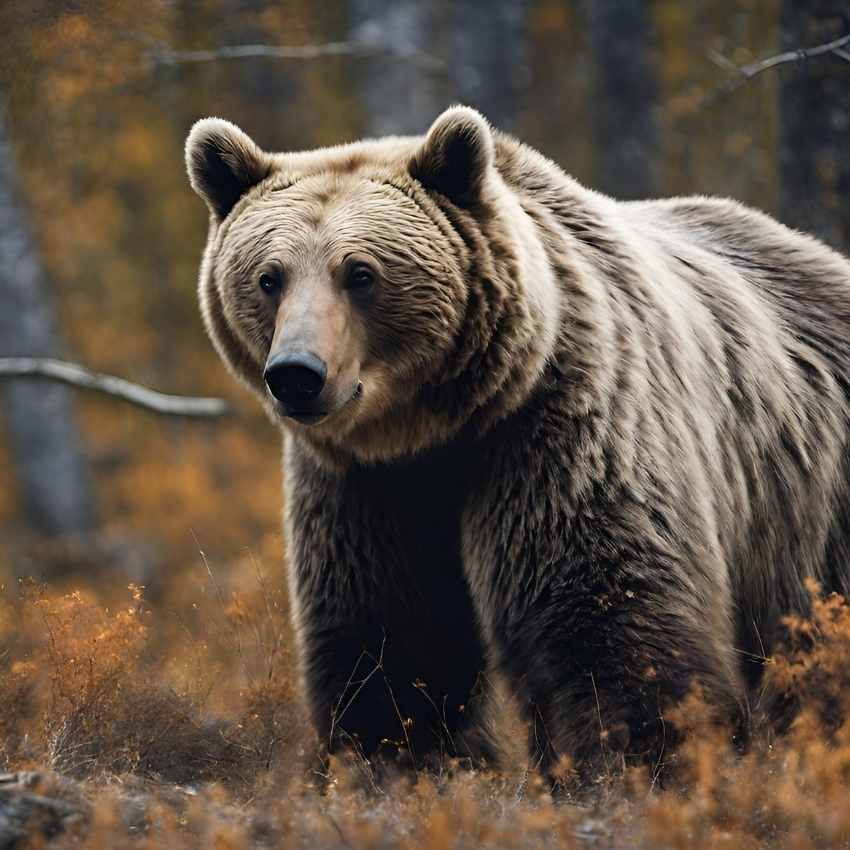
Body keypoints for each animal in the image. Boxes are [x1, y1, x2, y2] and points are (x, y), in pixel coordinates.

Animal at [184, 104, 848, 776]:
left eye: (361, 273)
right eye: (269, 277)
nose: (296, 373)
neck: (435, 430)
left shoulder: (561, 432)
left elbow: (604, 615)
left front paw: (637, 761)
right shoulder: (368, 489)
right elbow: (392, 641)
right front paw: (392, 761)